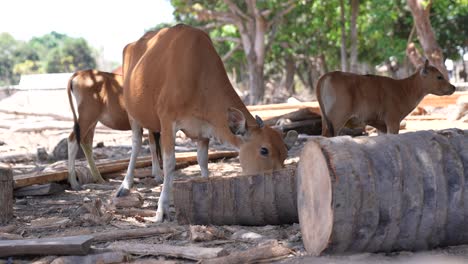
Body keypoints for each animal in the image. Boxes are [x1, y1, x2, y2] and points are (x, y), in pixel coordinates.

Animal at [119, 24, 298, 223]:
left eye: (285, 153)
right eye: (264, 150)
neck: (198, 77)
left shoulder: (204, 131)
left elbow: (203, 161)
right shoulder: (167, 121)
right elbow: (170, 163)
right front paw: (161, 209)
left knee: (151, 140)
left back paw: (157, 174)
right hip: (132, 113)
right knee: (136, 144)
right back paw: (125, 185)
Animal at [316, 59, 456, 136]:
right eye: (439, 77)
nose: (453, 87)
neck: (404, 89)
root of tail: (326, 76)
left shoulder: (381, 126)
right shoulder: (393, 121)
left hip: (325, 120)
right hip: (337, 119)